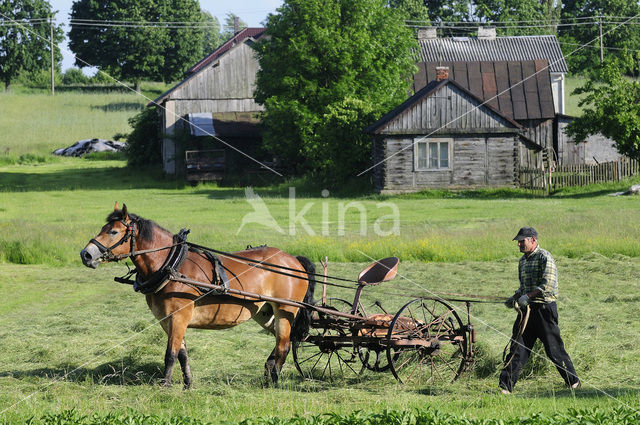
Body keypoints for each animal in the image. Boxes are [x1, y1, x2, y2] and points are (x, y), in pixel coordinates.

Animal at [80, 203, 316, 388]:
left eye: (113, 232)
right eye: (103, 228)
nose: (86, 254)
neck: (171, 265)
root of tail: (293, 259)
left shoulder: (179, 316)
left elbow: (171, 353)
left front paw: (165, 386)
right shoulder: (167, 320)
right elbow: (182, 353)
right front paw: (187, 383)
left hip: (286, 309)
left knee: (284, 345)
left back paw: (273, 381)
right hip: (265, 312)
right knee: (283, 340)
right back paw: (267, 374)